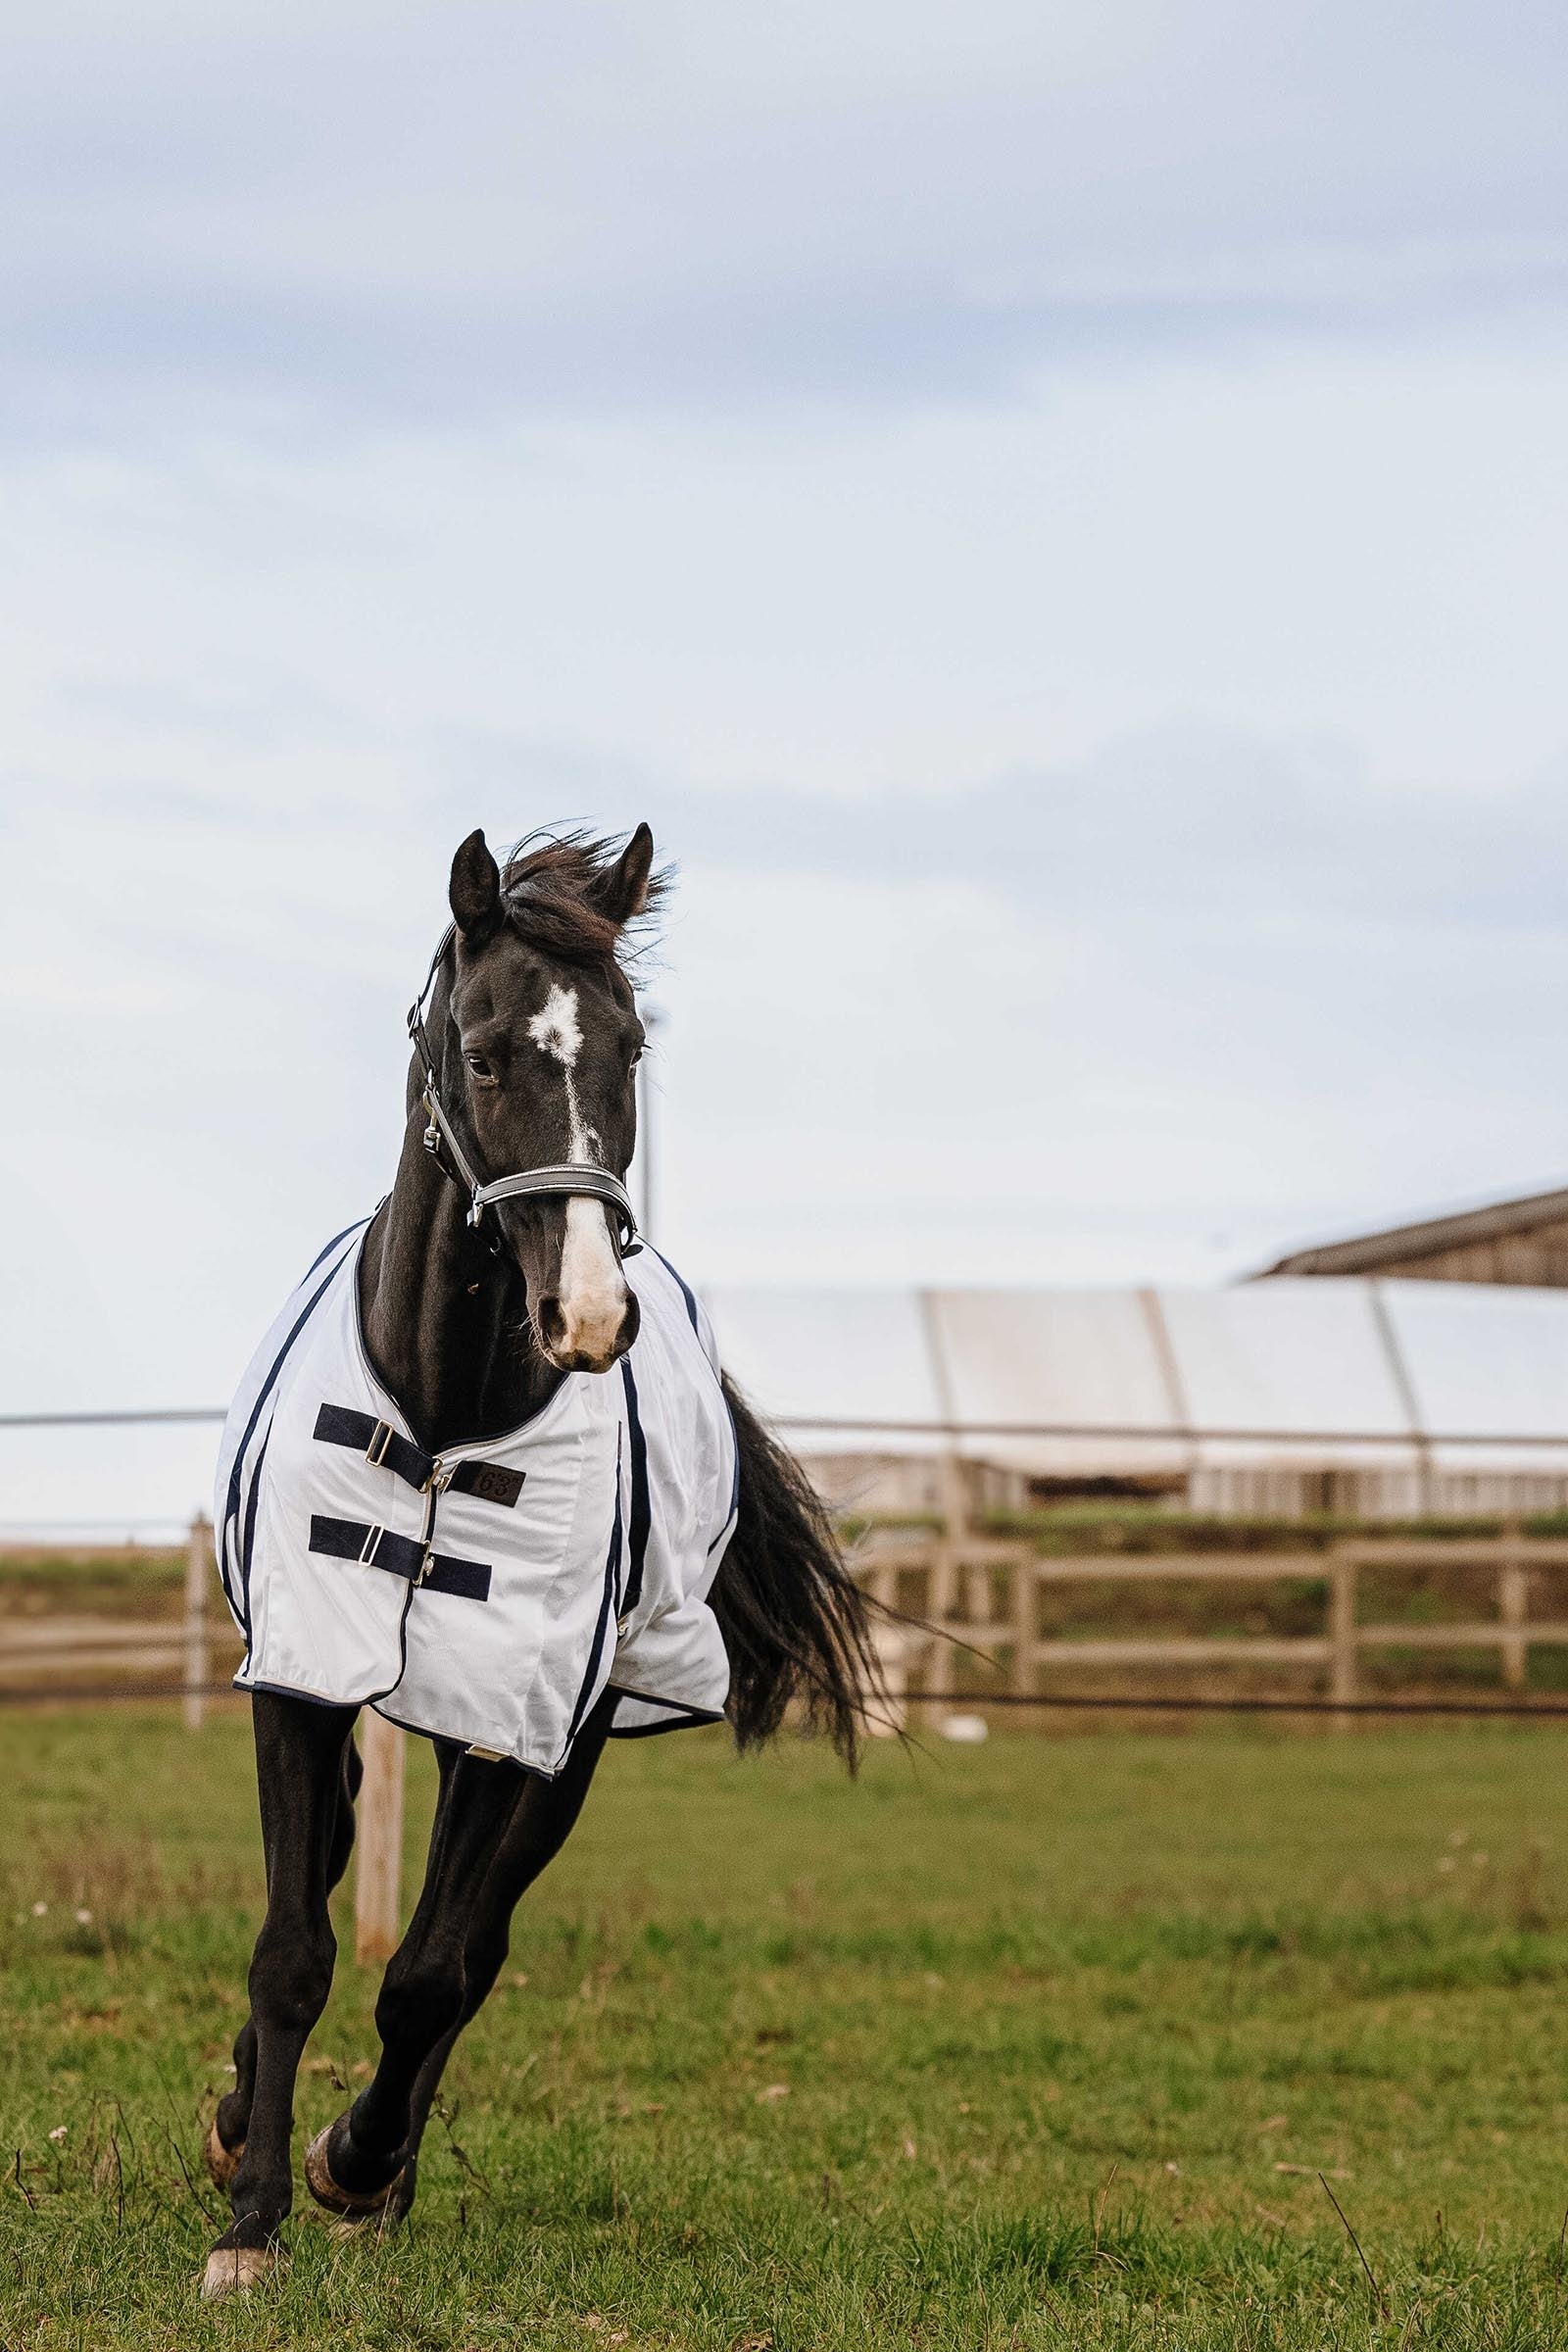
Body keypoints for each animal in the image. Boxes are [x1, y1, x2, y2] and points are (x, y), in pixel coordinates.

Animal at [200, 824, 876, 2298]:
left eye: (631, 1044)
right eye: (485, 1047)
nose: (589, 1311)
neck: (448, 1416)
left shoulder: (525, 1720)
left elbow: (432, 1974)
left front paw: (352, 2165)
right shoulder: (301, 1679)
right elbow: (293, 1945)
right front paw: (249, 2214)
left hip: (550, 1743)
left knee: (470, 1947)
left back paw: (382, 2165)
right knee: (342, 1875)